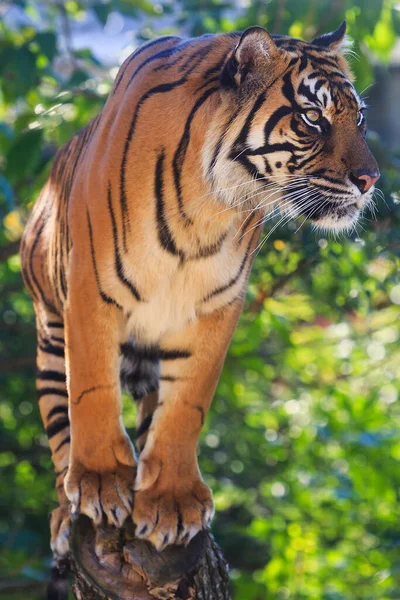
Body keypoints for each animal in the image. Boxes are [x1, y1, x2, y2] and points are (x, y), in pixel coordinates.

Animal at [21, 23, 378, 556]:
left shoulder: (216, 306)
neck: (208, 205)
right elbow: (92, 387)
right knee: (63, 429)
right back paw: (69, 512)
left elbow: (186, 405)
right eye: (312, 117)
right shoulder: (91, 290)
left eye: (358, 118)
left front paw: (170, 502)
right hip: (49, 333)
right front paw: (102, 482)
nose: (371, 179)